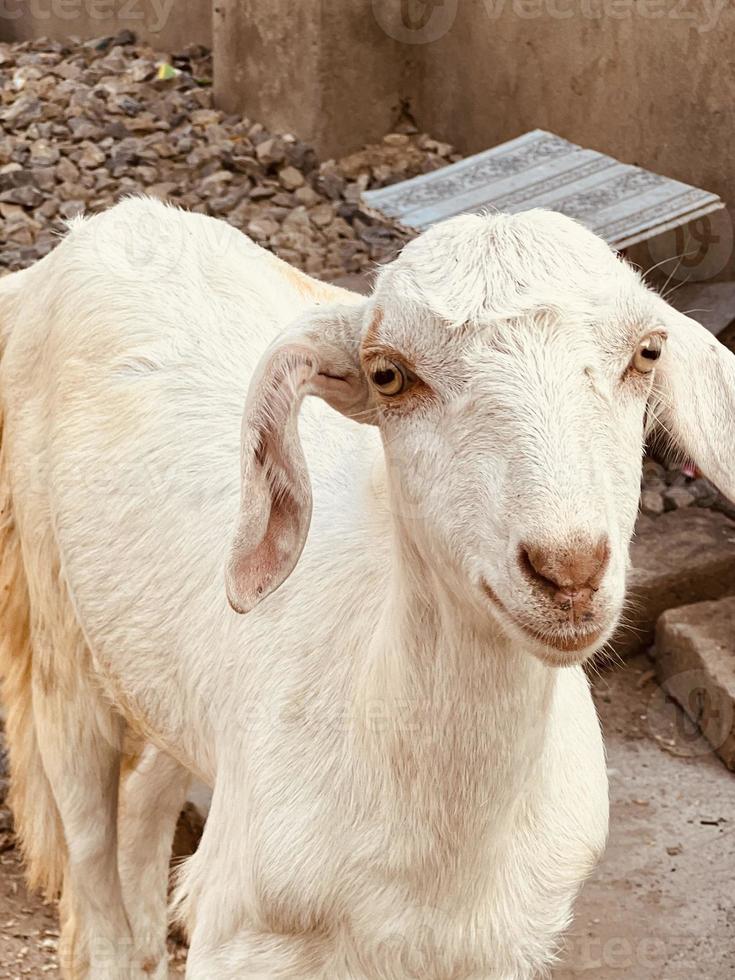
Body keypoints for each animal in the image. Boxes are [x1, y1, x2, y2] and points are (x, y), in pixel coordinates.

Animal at [0, 195, 732, 976]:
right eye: (388, 375)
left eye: (648, 353)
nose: (567, 569)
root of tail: (94, 231)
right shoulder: (242, 934)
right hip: (58, 632)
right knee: (88, 838)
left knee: (145, 793)